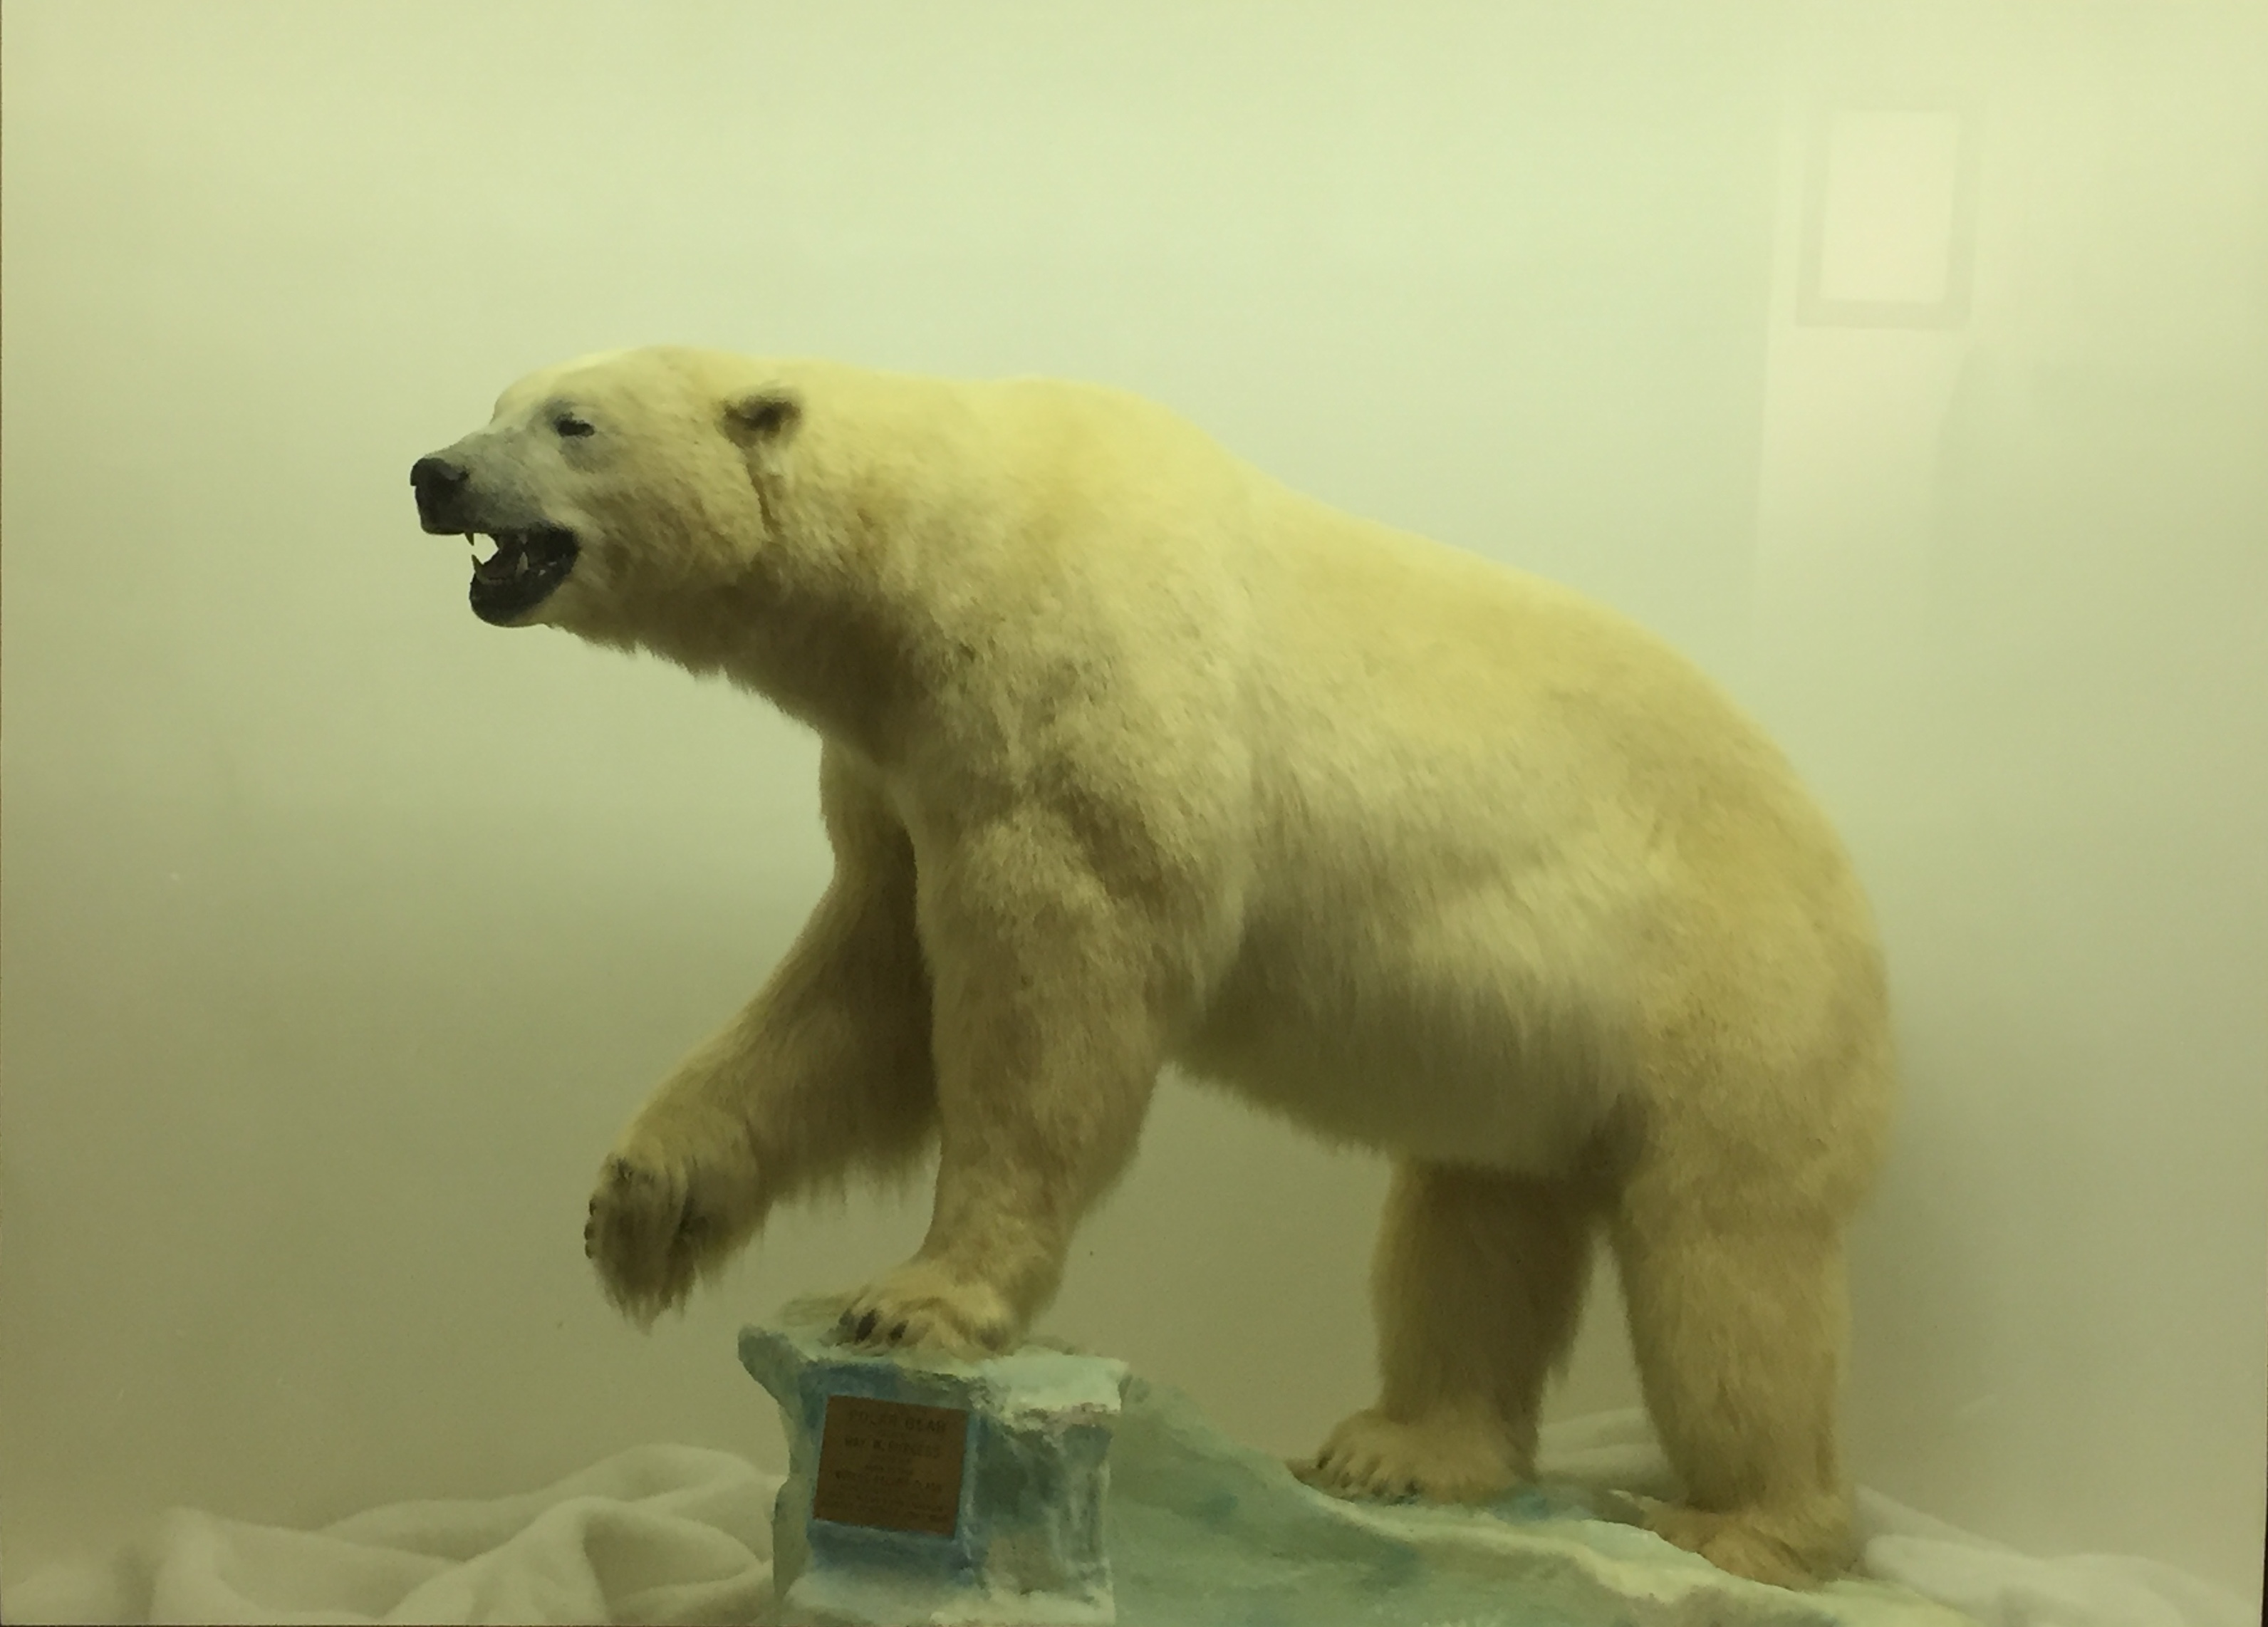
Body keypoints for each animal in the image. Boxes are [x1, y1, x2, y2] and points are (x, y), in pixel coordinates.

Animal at [410, 346, 1896, 1588]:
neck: (946, 544)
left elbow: (1044, 1001)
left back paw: (1746, 1524)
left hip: (1730, 987)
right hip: (1525, 1056)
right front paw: (638, 1204)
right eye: (499, 394)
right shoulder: (900, 770)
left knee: (1725, 1256)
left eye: (571, 421)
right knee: (1472, 1216)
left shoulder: (1071, 706)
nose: (434, 472)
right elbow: (860, 993)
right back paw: (1399, 1448)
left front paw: (917, 1299)